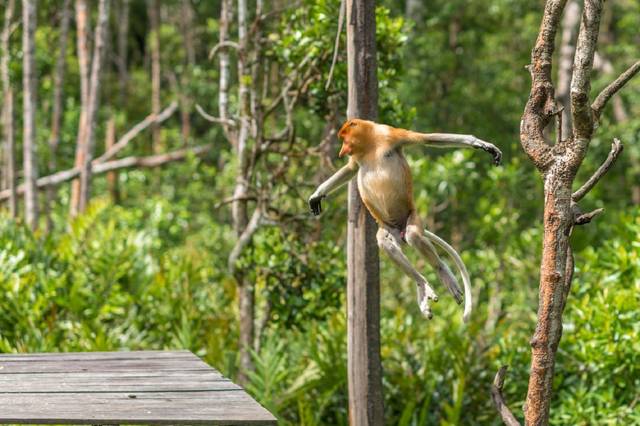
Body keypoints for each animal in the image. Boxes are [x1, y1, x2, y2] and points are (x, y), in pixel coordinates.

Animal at [308, 118, 502, 322]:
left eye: (344, 139)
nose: (341, 151)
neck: (370, 144)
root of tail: (400, 231)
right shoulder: (357, 156)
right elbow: (351, 169)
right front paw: (316, 195)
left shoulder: (390, 134)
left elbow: (426, 138)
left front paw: (481, 144)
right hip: (387, 227)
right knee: (385, 243)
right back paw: (422, 285)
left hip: (413, 216)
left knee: (414, 236)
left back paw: (442, 274)